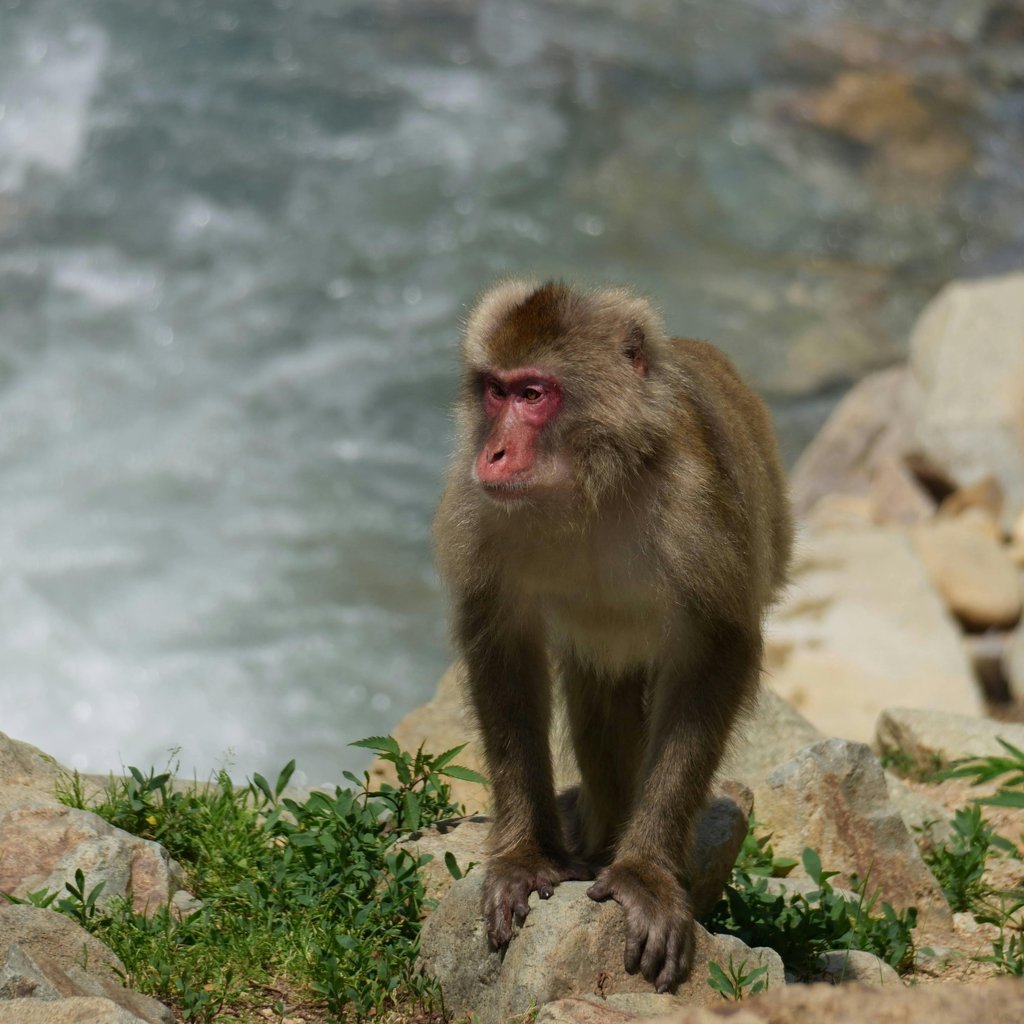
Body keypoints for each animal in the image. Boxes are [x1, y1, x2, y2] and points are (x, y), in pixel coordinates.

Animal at [433, 279, 792, 993]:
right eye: (494, 390)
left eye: (533, 394)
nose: (492, 453)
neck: (591, 481)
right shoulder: (485, 515)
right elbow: (503, 652)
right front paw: (527, 855)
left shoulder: (696, 507)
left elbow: (715, 654)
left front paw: (644, 875)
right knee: (601, 693)